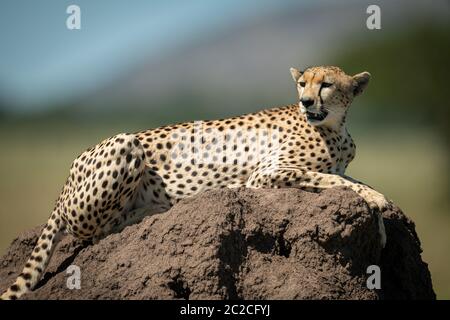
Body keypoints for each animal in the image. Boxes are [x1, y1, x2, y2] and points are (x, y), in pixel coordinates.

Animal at [1, 65, 390, 300]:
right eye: (302, 82)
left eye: (326, 84)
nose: (306, 101)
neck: (333, 127)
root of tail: (65, 180)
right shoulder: (265, 174)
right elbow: (334, 179)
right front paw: (376, 203)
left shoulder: (329, 165)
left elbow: (349, 178)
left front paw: (381, 219)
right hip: (124, 145)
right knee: (91, 231)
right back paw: (152, 212)